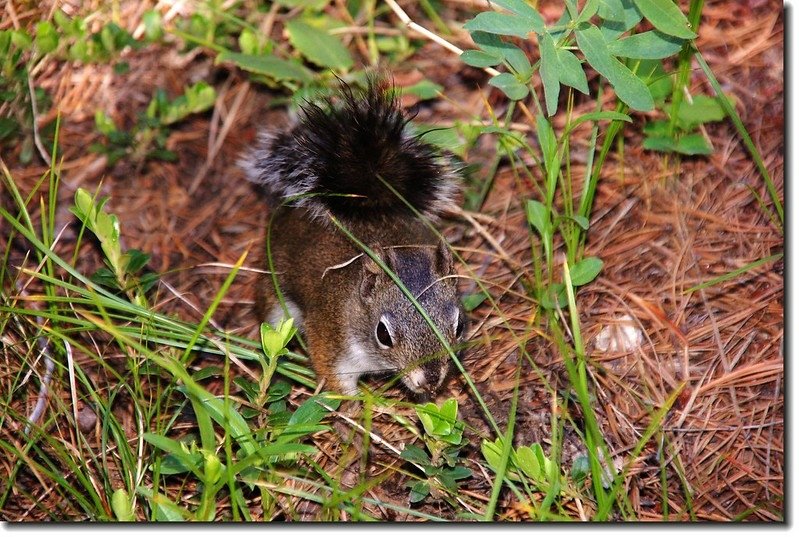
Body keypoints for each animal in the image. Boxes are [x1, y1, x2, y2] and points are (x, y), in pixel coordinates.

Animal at [241, 78, 466, 394]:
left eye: (460, 325)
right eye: (383, 334)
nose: (431, 381)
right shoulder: (332, 338)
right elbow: (336, 380)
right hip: (274, 296)